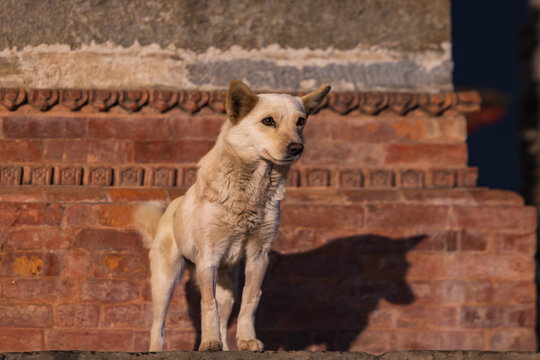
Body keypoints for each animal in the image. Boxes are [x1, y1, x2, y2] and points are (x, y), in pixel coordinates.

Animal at [133, 81, 332, 352]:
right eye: (268, 121)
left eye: (300, 121)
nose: (297, 148)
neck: (252, 190)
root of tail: (171, 208)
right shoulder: (209, 257)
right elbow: (208, 305)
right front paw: (209, 342)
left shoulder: (259, 255)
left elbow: (250, 301)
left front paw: (247, 340)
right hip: (166, 280)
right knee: (158, 324)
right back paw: (157, 349)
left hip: (228, 285)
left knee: (225, 313)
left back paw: (226, 347)